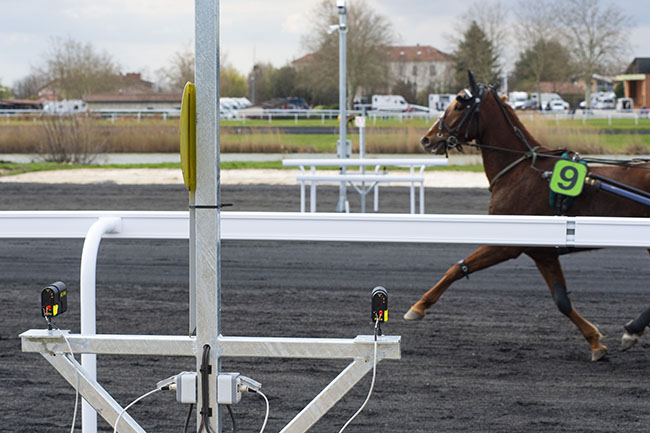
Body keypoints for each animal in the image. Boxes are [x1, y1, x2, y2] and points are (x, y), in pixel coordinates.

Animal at [402, 71, 648, 362]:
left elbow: (457, 268)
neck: (520, 170)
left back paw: (633, 329)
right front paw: (595, 342)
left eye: (460, 105)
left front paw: (418, 306)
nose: (427, 139)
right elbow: (561, 300)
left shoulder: (508, 243)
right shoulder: (542, 251)